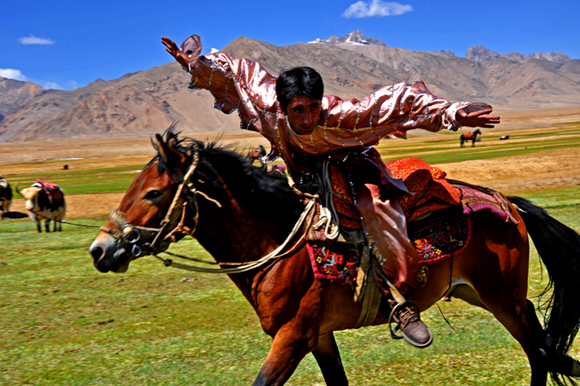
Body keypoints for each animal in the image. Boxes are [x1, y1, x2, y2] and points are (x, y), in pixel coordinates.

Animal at [89, 130, 580, 386]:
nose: (101, 249)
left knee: (540, 351)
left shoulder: (292, 336)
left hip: (502, 298)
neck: (276, 244)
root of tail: (508, 202)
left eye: (154, 193)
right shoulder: (318, 337)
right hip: (481, 294)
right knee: (543, 347)